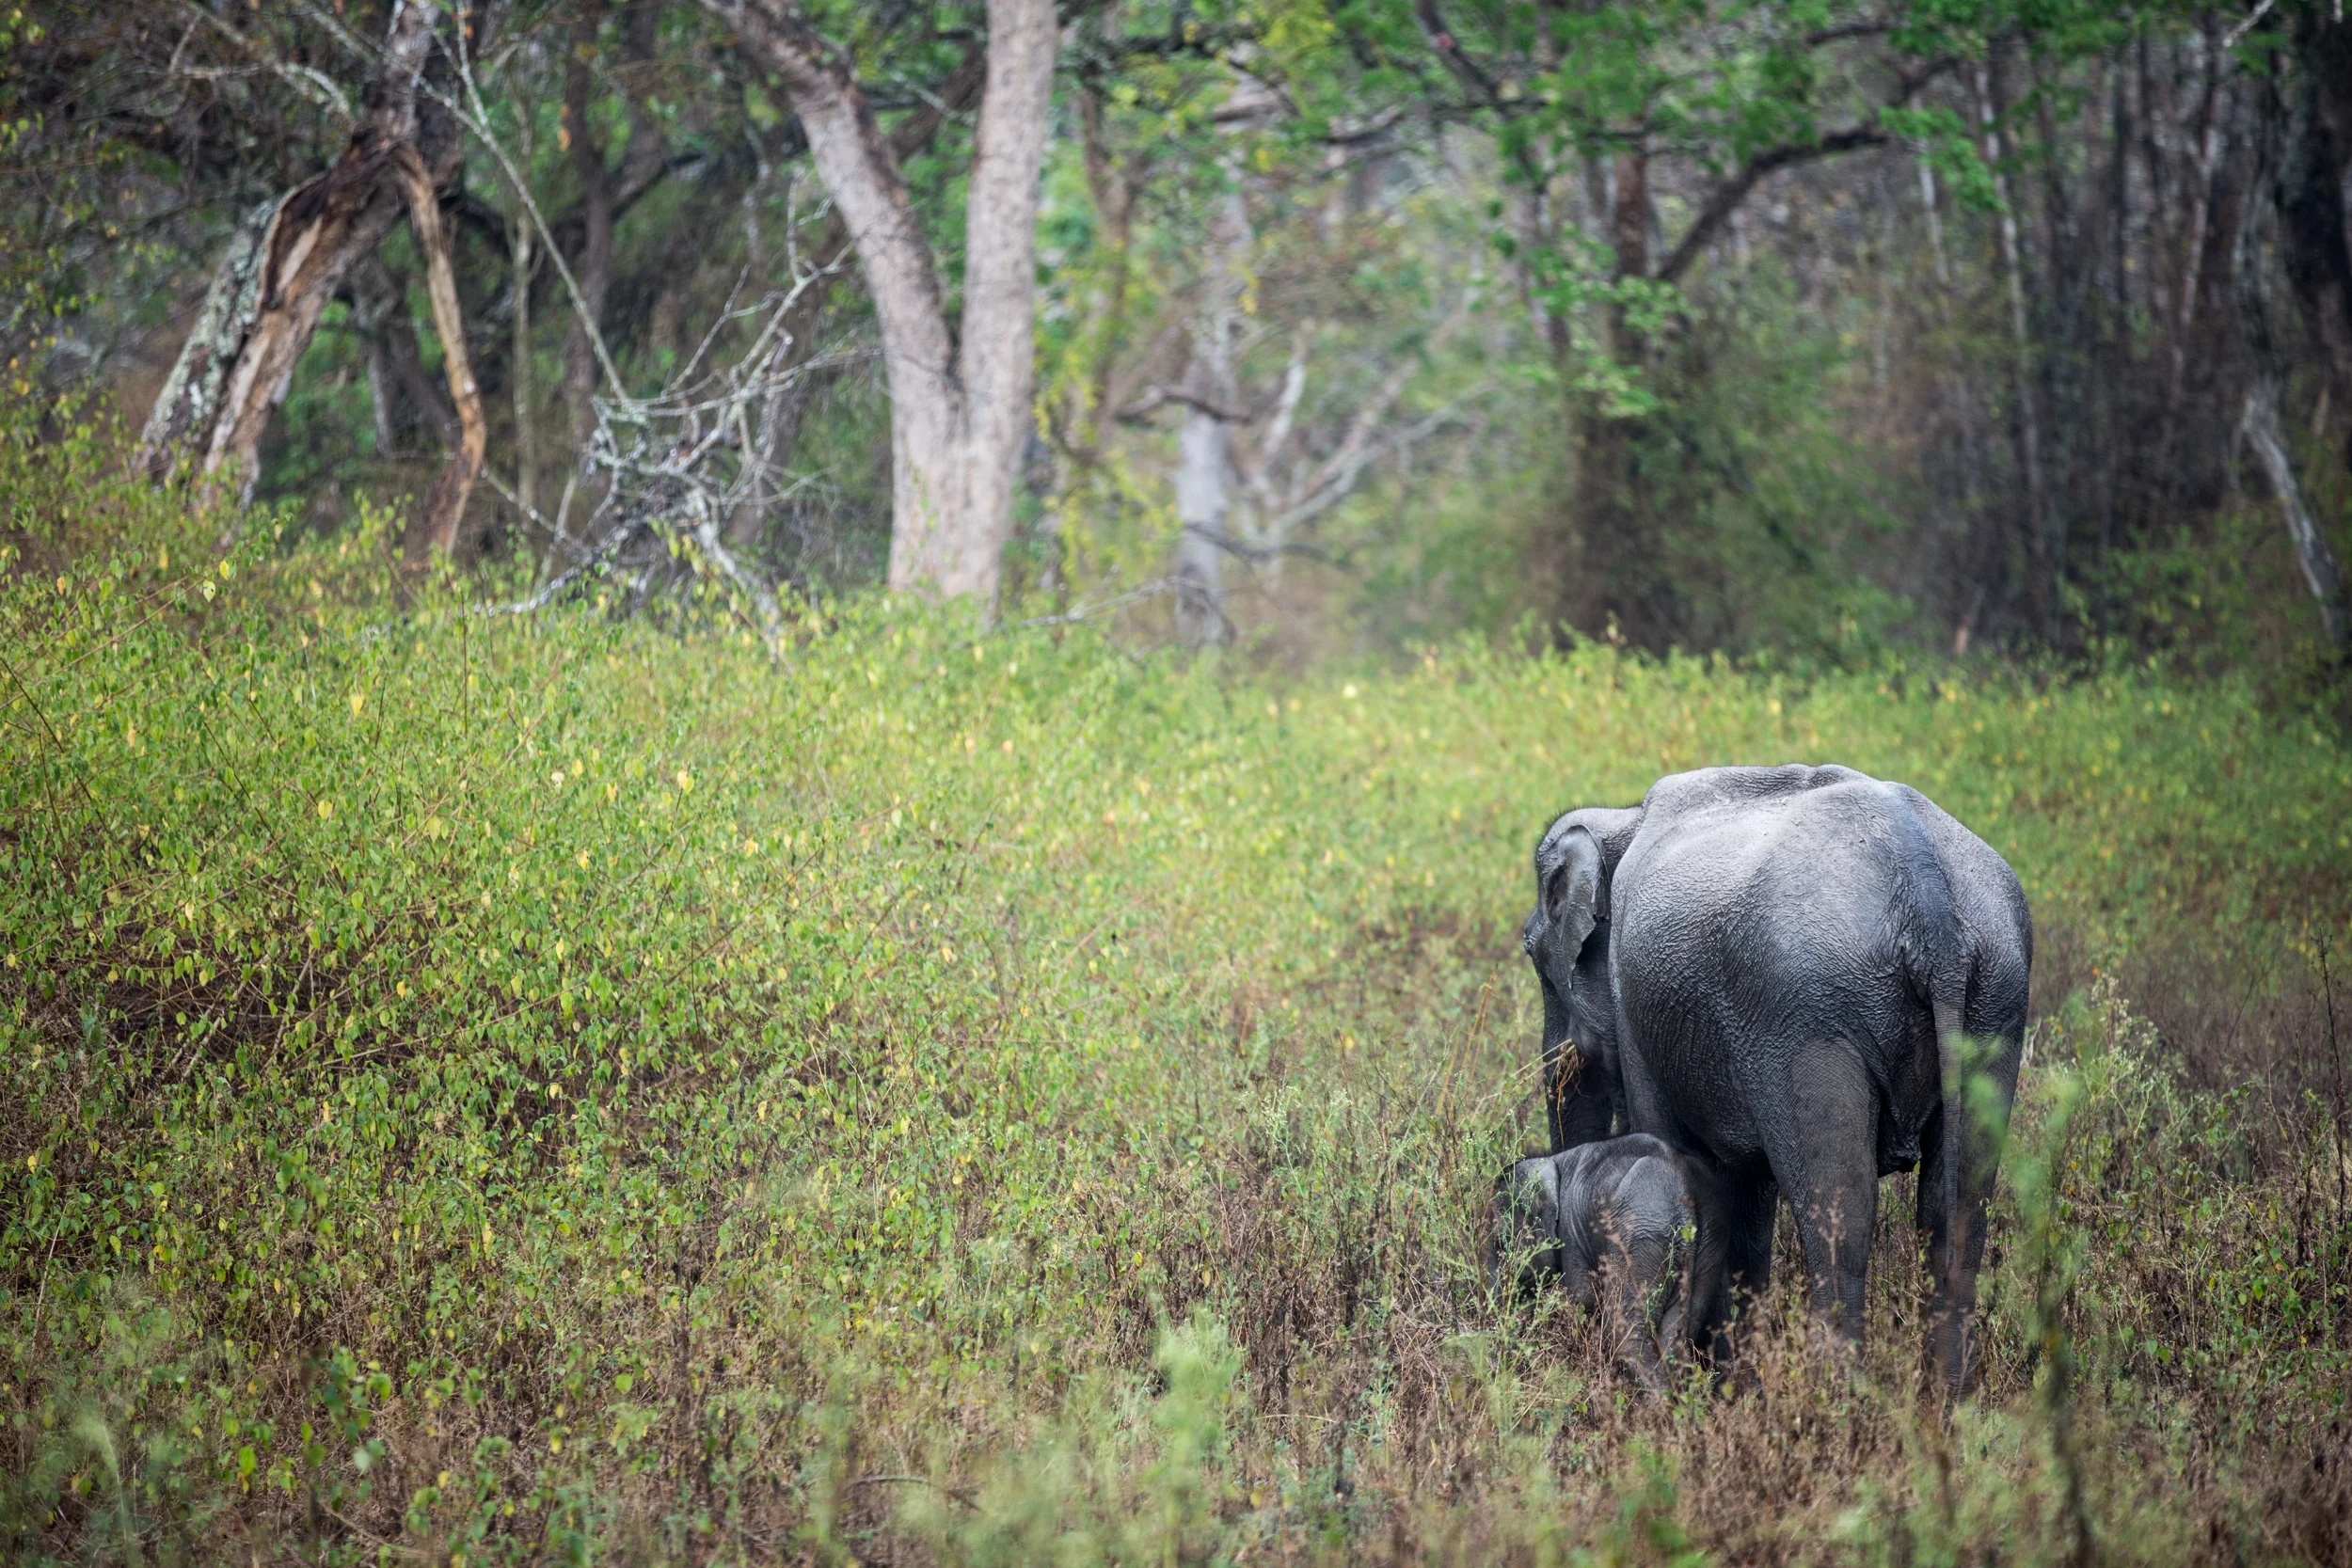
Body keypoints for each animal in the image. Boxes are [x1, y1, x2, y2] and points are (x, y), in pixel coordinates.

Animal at [1490, 1133, 1694, 1393]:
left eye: (1499, 1242)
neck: (1551, 1161)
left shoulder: (1571, 1235)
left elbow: (1581, 1299)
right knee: (1674, 1339)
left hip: (1638, 1238)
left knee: (1624, 1335)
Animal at [1519, 764, 2030, 1390]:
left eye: (1536, 959)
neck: (1624, 817)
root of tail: (1930, 906)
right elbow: (1747, 1196)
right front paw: (1731, 1383)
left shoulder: (1640, 1013)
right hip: (1995, 1002)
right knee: (1956, 1211)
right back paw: (1944, 1404)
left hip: (1811, 1020)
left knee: (1839, 1212)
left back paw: (1834, 1402)